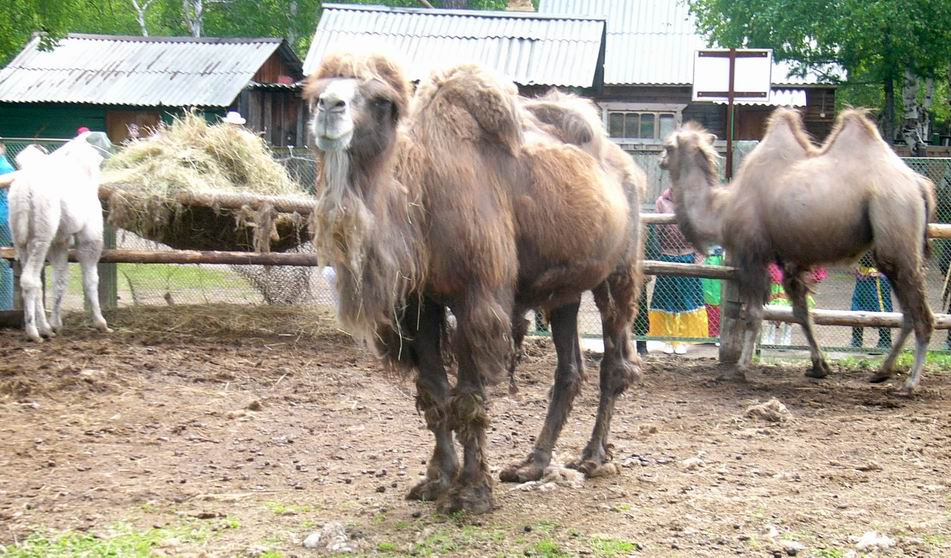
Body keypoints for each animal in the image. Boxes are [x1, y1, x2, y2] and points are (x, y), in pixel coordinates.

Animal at [305, 52, 643, 514]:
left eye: (381, 100)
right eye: (314, 92)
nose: (329, 108)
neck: (422, 193)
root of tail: (629, 169)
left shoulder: (474, 296)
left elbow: (467, 396)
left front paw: (472, 493)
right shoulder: (420, 302)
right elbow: (433, 391)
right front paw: (437, 480)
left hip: (618, 273)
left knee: (614, 363)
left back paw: (592, 458)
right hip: (565, 290)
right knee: (570, 368)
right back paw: (532, 464)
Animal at [661, 107, 935, 394]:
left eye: (668, 147)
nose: (660, 159)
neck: (723, 209)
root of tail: (918, 185)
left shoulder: (751, 254)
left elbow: (754, 314)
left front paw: (740, 369)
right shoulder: (789, 259)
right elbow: (801, 313)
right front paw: (819, 367)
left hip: (895, 217)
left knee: (921, 311)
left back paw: (910, 383)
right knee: (906, 310)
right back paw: (882, 372)